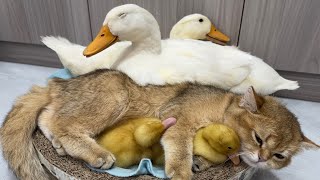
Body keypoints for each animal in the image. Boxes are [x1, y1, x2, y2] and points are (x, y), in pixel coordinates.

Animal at [1, 69, 318, 180]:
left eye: (280, 156)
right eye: (259, 138)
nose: (263, 159)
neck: (224, 106)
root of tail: (59, 83)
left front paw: (202, 163)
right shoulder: (179, 120)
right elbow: (180, 149)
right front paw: (182, 172)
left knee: (47, 117)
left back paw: (57, 144)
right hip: (116, 93)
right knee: (63, 124)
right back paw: (94, 153)